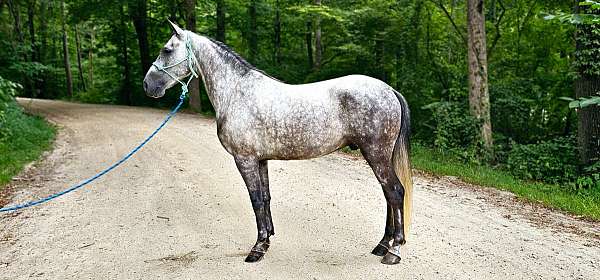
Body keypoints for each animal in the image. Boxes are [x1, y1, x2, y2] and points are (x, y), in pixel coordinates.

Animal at [143, 21, 412, 264]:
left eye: (166, 50)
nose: (148, 85)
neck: (236, 92)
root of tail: (390, 90)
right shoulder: (260, 160)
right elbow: (265, 198)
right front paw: (267, 239)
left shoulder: (245, 160)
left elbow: (255, 199)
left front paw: (257, 248)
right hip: (379, 156)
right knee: (388, 195)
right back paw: (382, 245)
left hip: (376, 154)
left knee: (395, 192)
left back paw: (394, 251)